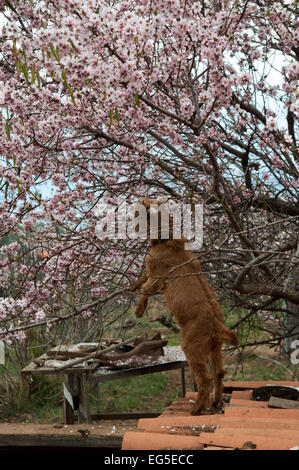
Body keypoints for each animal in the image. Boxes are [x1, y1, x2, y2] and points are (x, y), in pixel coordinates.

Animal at [131, 198, 239, 414]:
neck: (166, 238)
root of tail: (215, 322)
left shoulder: (157, 278)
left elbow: (145, 289)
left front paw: (138, 310)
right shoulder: (151, 273)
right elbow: (141, 280)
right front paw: (132, 286)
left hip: (191, 347)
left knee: (204, 378)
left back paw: (197, 408)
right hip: (215, 348)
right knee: (219, 374)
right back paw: (215, 403)